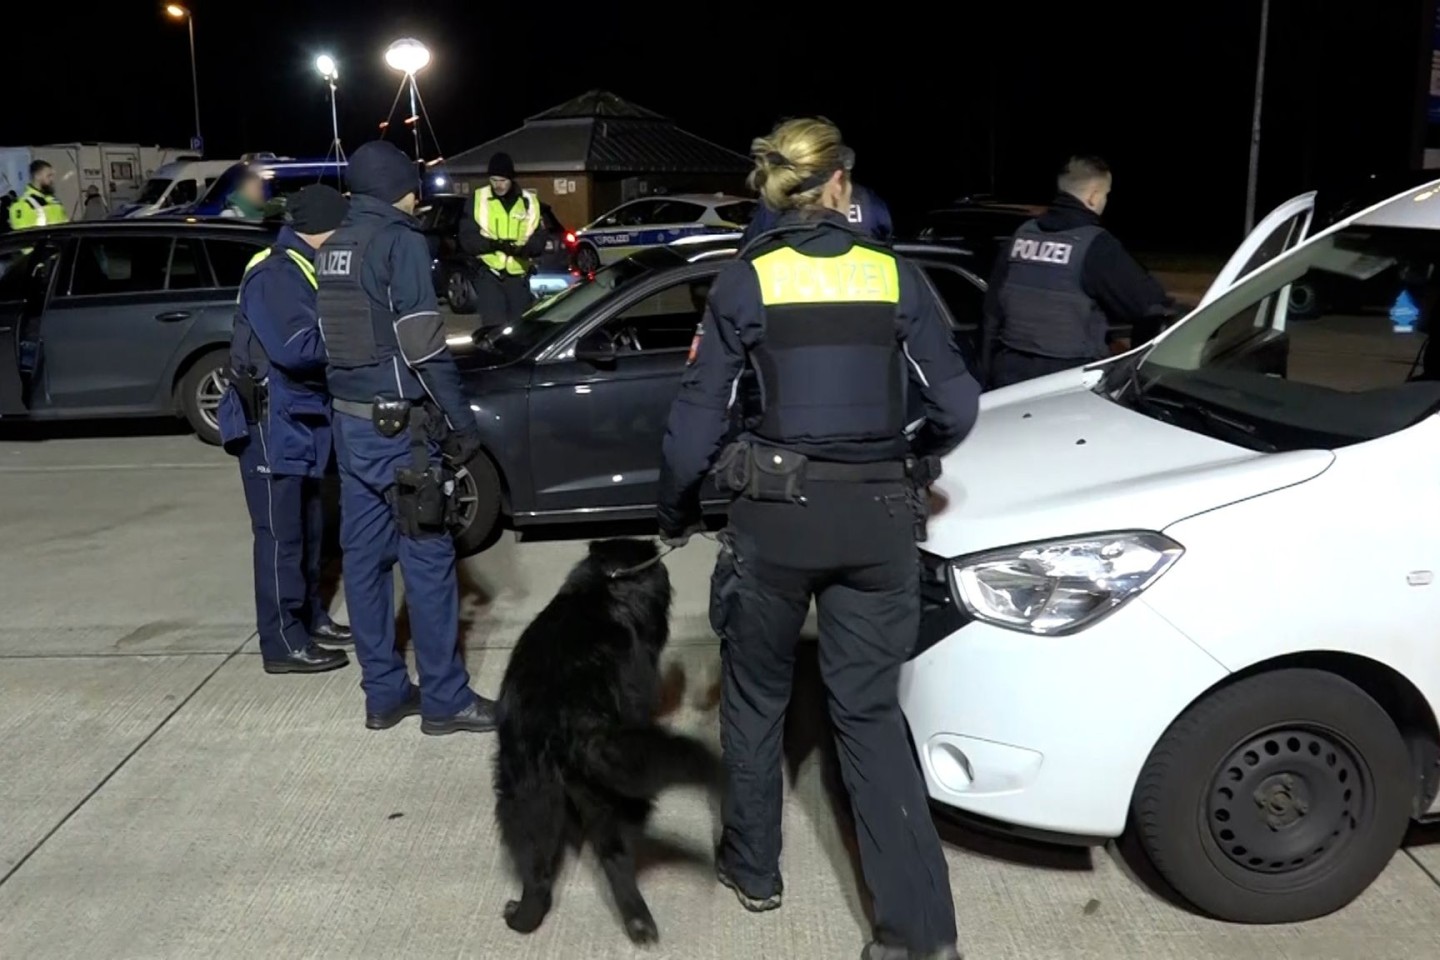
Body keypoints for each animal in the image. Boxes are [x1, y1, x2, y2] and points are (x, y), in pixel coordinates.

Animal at [495, 541, 720, 944]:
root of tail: (567, 723)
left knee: (542, 874)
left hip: (528, 799)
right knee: (616, 856)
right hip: (608, 799)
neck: (604, 587)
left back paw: (526, 915)